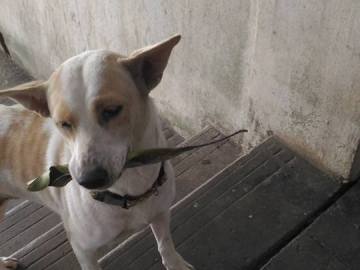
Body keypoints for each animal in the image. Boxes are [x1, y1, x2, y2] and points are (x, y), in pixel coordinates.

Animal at [0, 35, 194, 270]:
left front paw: (175, 263)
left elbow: (165, 245)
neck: (131, 189)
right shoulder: (83, 250)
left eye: (111, 110)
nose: (89, 180)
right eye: (63, 124)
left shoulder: (161, 212)